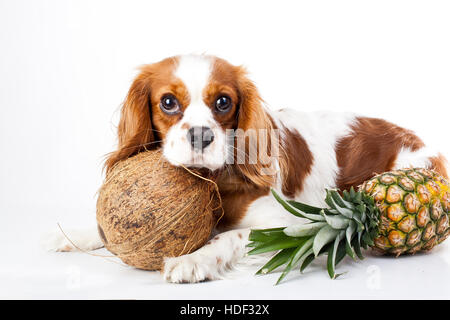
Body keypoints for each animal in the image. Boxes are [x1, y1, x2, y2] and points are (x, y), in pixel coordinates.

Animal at [44, 54, 446, 282]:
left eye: (223, 102)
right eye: (168, 102)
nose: (201, 135)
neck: (214, 179)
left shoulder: (288, 223)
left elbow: (229, 237)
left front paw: (194, 260)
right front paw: (75, 234)